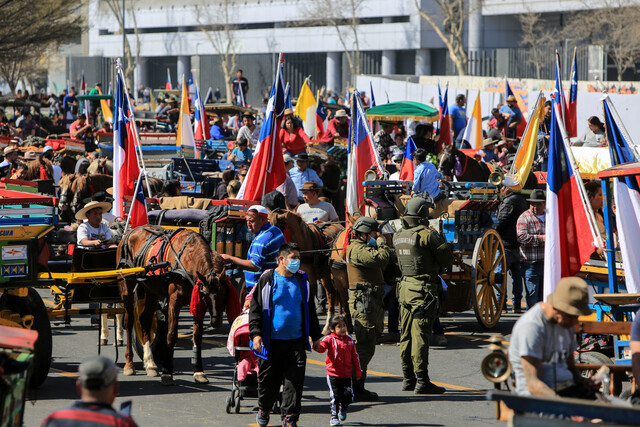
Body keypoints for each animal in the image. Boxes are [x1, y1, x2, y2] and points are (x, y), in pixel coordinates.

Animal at [117, 226, 232, 386]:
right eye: (206, 296)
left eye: (225, 295)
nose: (216, 322)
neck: (189, 257)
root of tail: (130, 231)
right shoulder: (174, 300)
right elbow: (171, 334)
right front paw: (167, 372)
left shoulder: (198, 304)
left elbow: (197, 336)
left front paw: (198, 371)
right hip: (126, 285)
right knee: (129, 321)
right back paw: (129, 364)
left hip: (151, 289)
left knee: (145, 319)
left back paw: (150, 364)